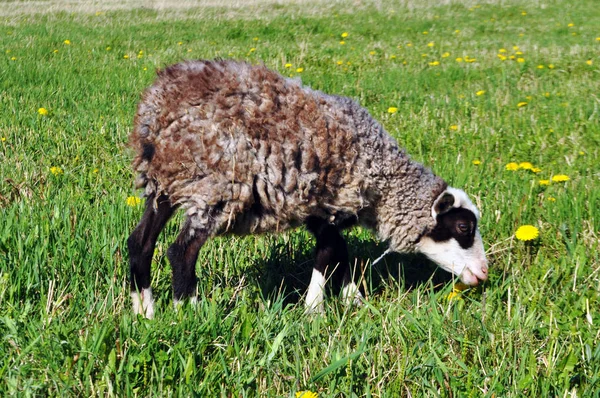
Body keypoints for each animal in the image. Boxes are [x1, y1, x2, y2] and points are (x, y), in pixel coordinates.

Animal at [126, 59, 488, 318]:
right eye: (463, 226)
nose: (483, 273)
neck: (382, 177)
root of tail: (158, 110)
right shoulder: (333, 202)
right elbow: (328, 253)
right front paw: (315, 309)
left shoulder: (317, 208)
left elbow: (340, 251)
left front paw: (352, 299)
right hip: (215, 187)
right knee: (181, 251)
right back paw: (190, 311)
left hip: (166, 180)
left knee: (140, 243)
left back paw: (145, 312)